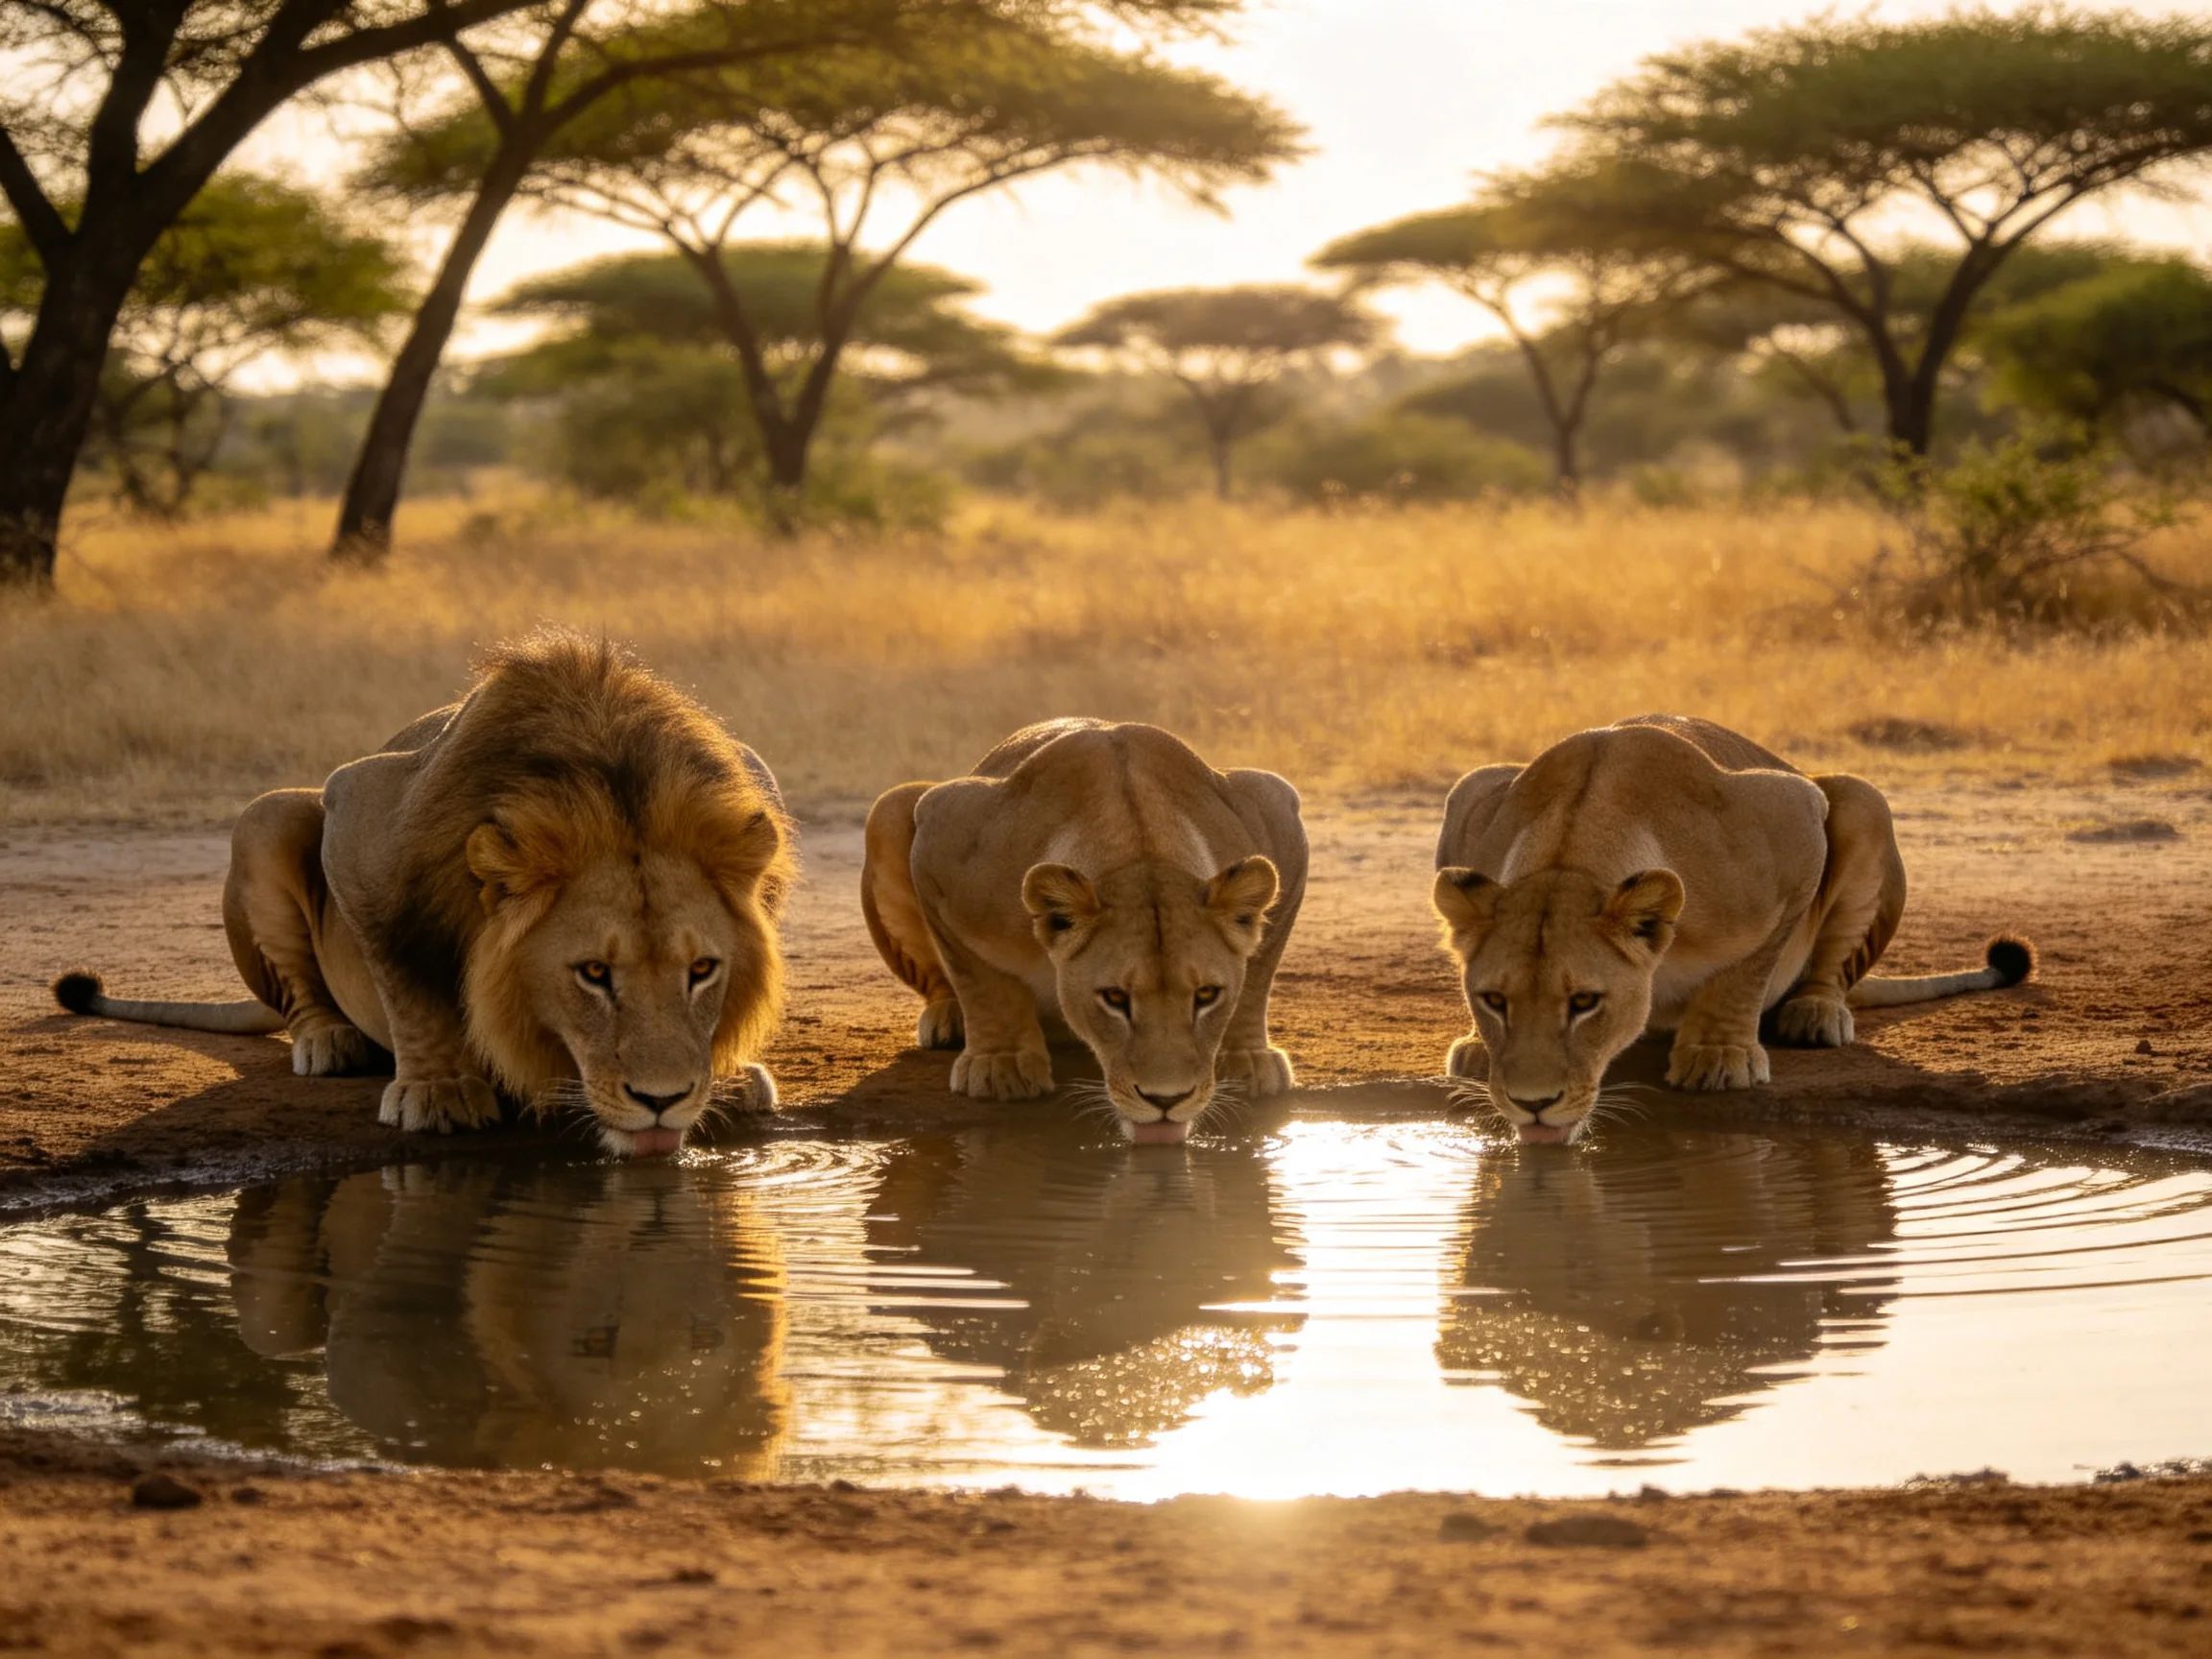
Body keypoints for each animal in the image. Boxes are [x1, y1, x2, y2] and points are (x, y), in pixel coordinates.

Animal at [54, 631, 794, 1157]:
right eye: (592, 973)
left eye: (702, 970)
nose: (663, 1099)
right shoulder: (359, 808)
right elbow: (406, 978)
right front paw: (438, 1090)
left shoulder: (757, 785)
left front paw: (726, 1073)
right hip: (271, 815)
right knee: (300, 988)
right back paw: (329, 1042)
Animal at [861, 719, 1306, 1143]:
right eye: (1115, 998)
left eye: (1207, 995)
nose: (1167, 1100)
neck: (1137, 839)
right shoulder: (941, 829)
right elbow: (981, 981)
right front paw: (1001, 1064)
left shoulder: (1276, 812)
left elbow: (1257, 974)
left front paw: (1248, 1059)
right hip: (891, 804)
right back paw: (949, 1018)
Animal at [1432, 715, 2032, 1144]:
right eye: (1493, 1000)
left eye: (1584, 1002)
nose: (1532, 1103)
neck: (1571, 851)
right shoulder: (1470, 795)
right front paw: (1480, 1045)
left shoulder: (1794, 820)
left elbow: (1748, 968)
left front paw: (1718, 1055)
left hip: (1861, 798)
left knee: (1833, 967)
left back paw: (1814, 1014)